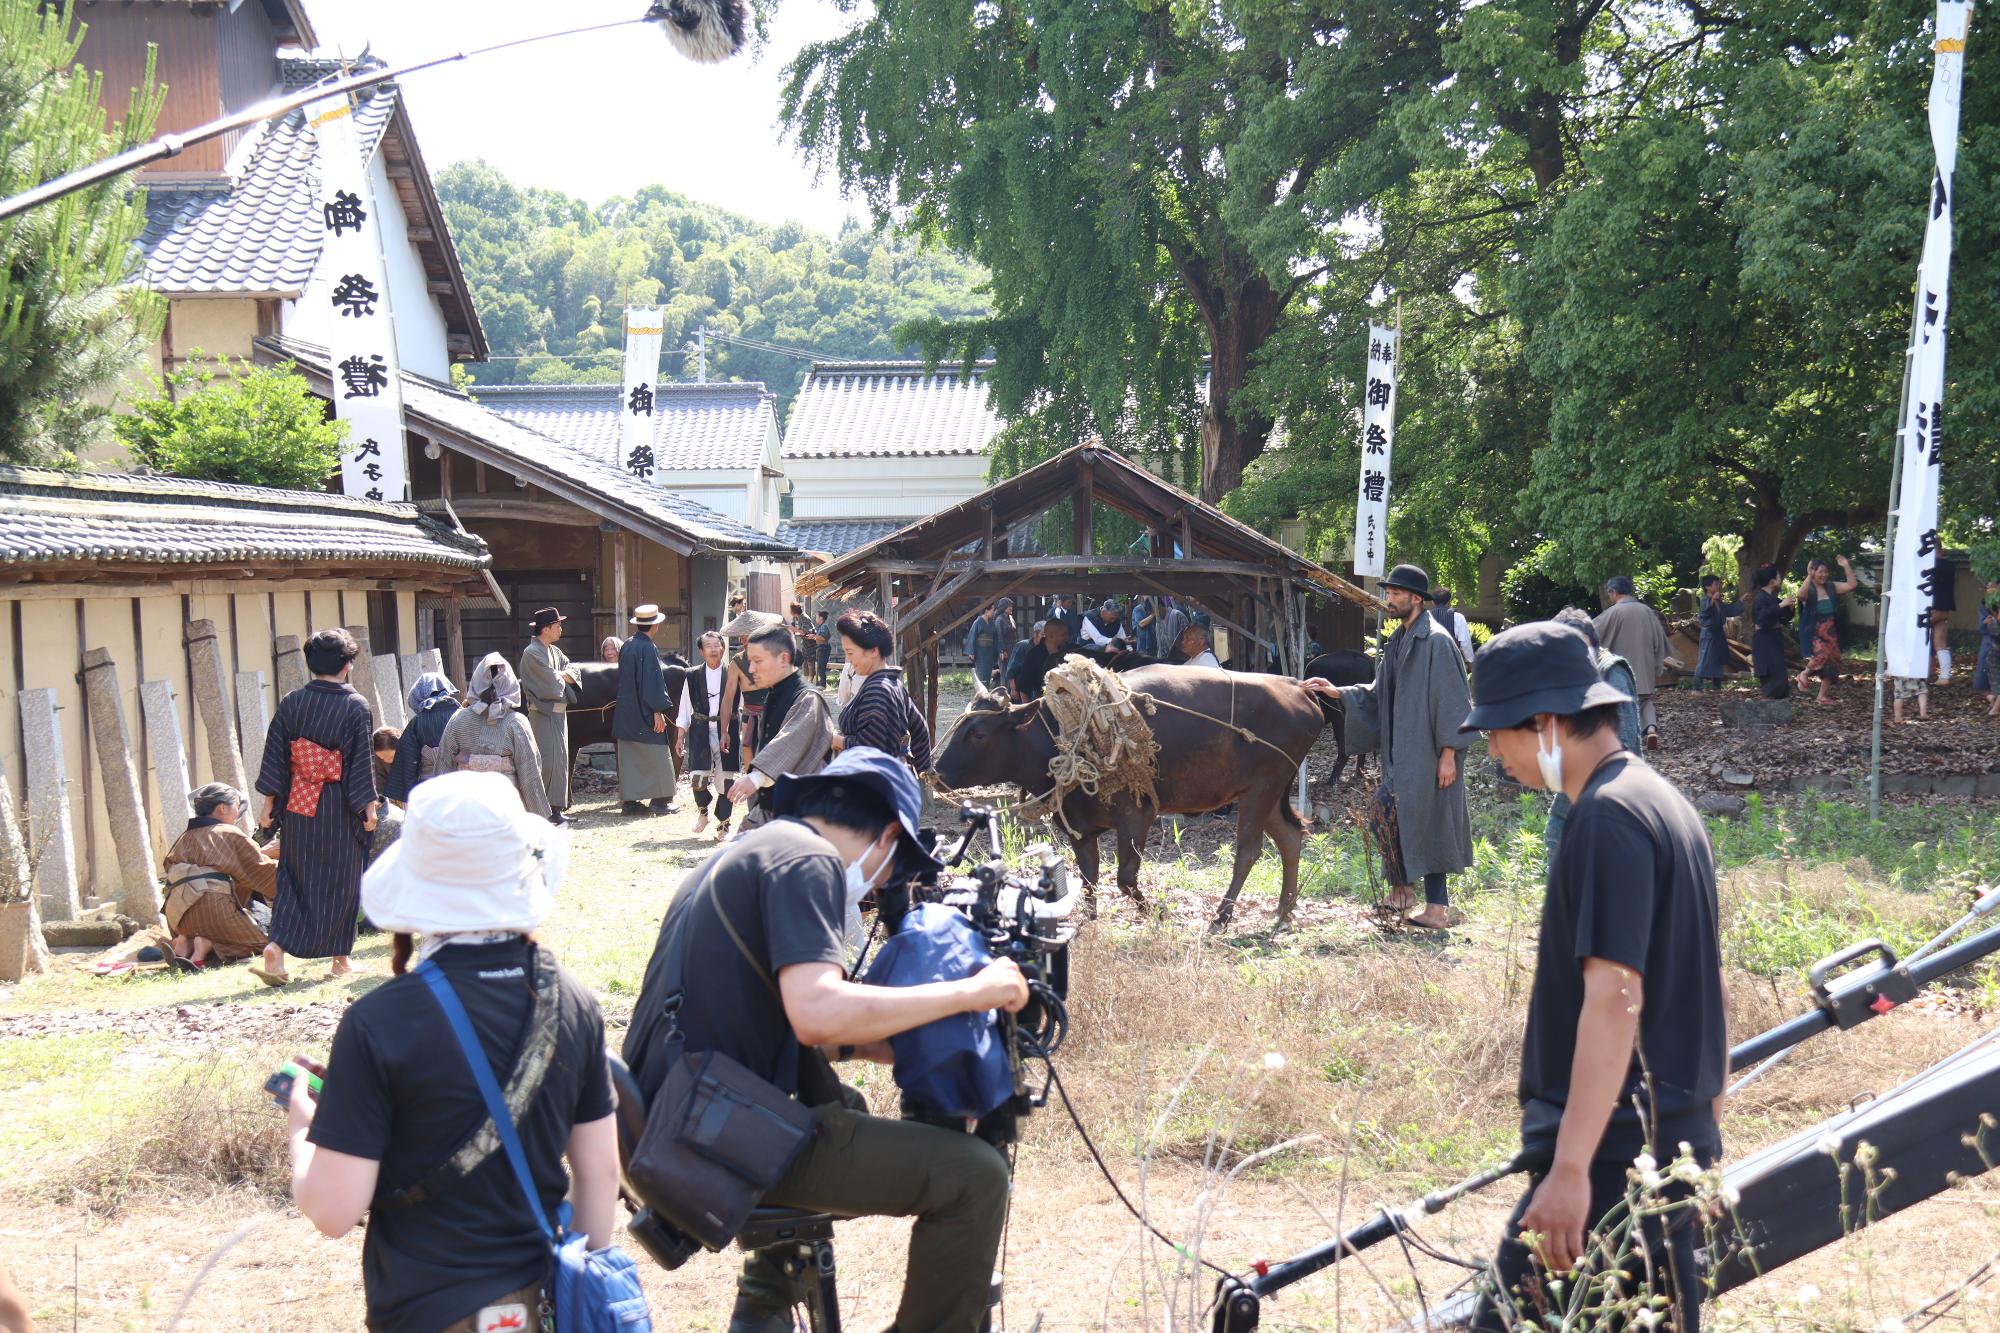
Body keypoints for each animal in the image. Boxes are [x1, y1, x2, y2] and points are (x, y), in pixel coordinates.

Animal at [936, 660, 1328, 924]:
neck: (1062, 735)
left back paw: (1221, 919)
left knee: (1248, 851)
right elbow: (1089, 878)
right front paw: (1090, 923)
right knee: (1290, 839)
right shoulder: (1080, 829)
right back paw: (1282, 913)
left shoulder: (1137, 816)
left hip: (1262, 789)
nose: (937, 772)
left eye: (979, 732)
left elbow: (1124, 878)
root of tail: (1299, 688)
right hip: (1265, 793)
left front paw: (1159, 912)